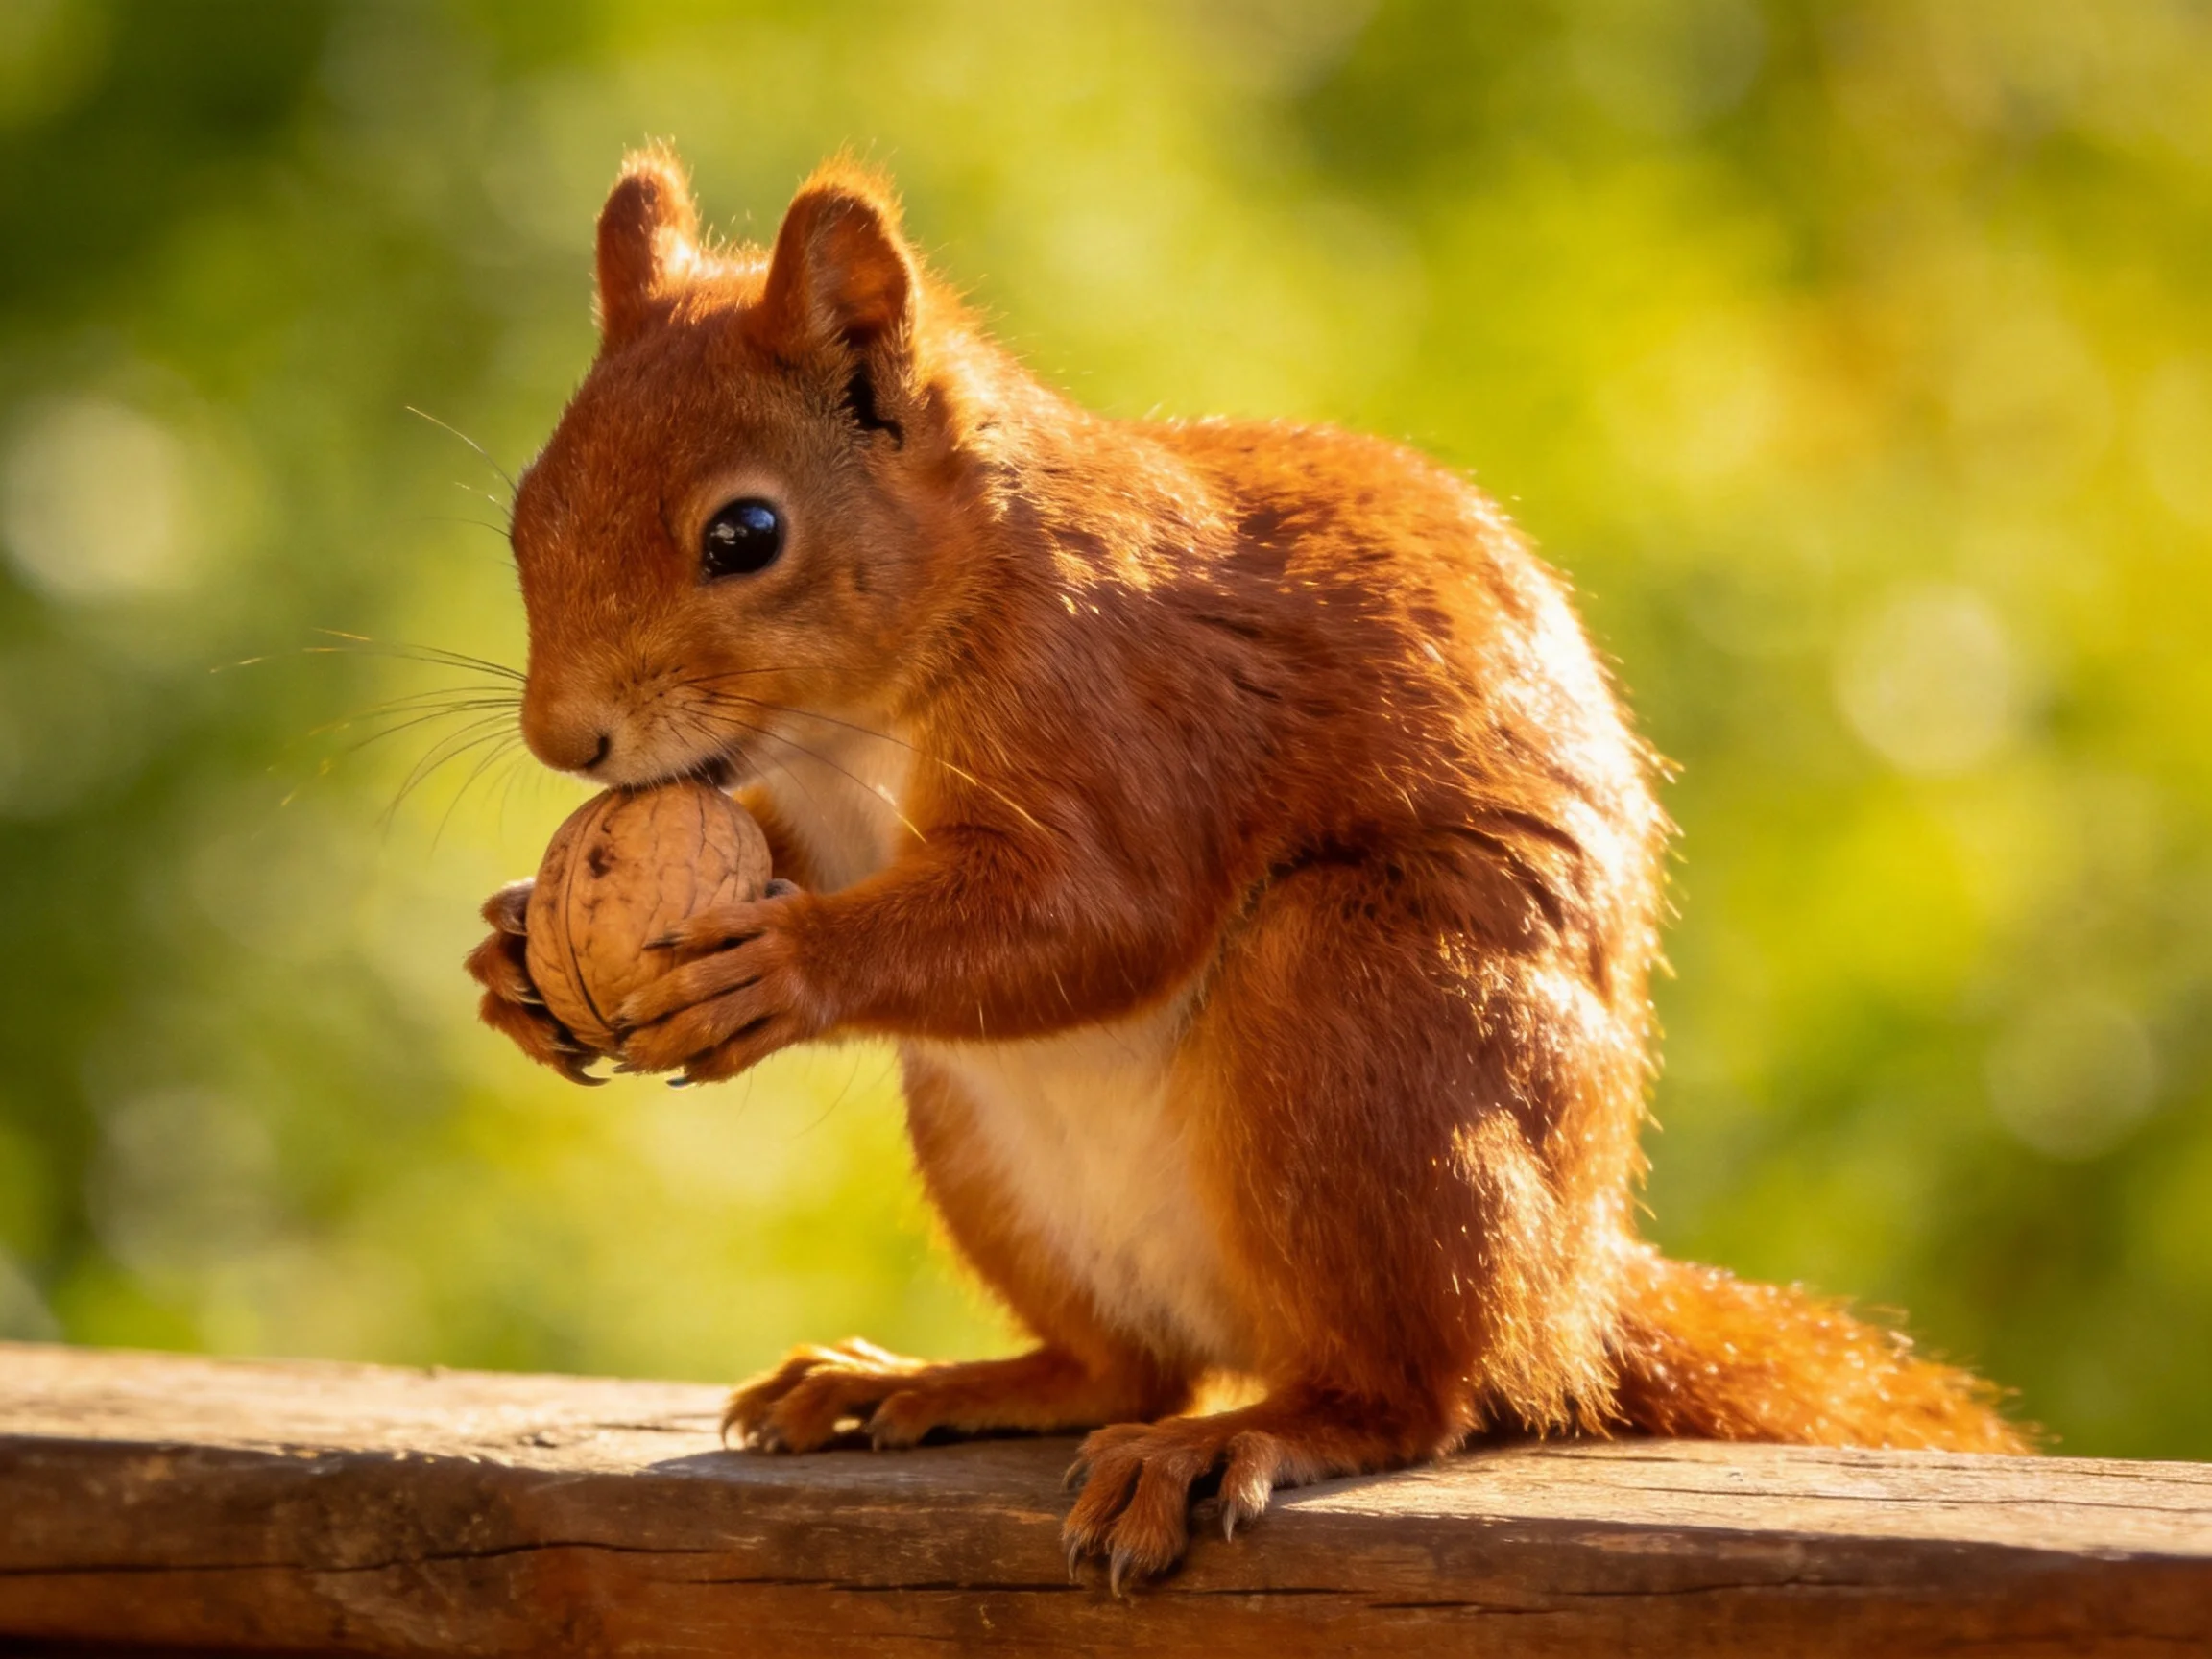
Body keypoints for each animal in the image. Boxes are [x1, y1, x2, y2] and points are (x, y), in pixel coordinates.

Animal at [465, 147, 2029, 1584]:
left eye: (746, 534)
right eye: (527, 509)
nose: (563, 738)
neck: (862, 712)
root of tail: (1573, 1291)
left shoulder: (1125, 708)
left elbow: (1106, 915)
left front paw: (785, 966)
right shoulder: (802, 805)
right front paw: (513, 950)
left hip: (1366, 1011)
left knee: (1414, 1396)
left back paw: (1245, 1436)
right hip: (984, 1144)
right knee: (1127, 1367)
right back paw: (929, 1383)